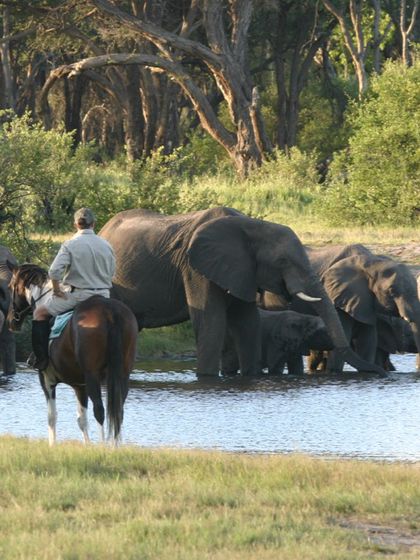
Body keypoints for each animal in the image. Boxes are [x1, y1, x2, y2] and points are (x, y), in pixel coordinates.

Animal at [7, 264, 138, 446]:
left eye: (10, 286)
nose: (11, 321)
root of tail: (110, 311)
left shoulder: (46, 379)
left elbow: (52, 417)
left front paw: (52, 446)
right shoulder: (79, 386)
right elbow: (81, 420)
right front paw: (87, 447)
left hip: (92, 375)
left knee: (99, 409)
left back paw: (104, 447)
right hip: (122, 375)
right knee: (118, 410)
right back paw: (115, 447)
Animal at [99, 207, 384, 376]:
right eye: (282, 262)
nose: (381, 373)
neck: (249, 225)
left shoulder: (242, 270)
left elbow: (248, 323)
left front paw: (251, 376)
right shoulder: (195, 268)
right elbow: (211, 321)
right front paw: (206, 379)